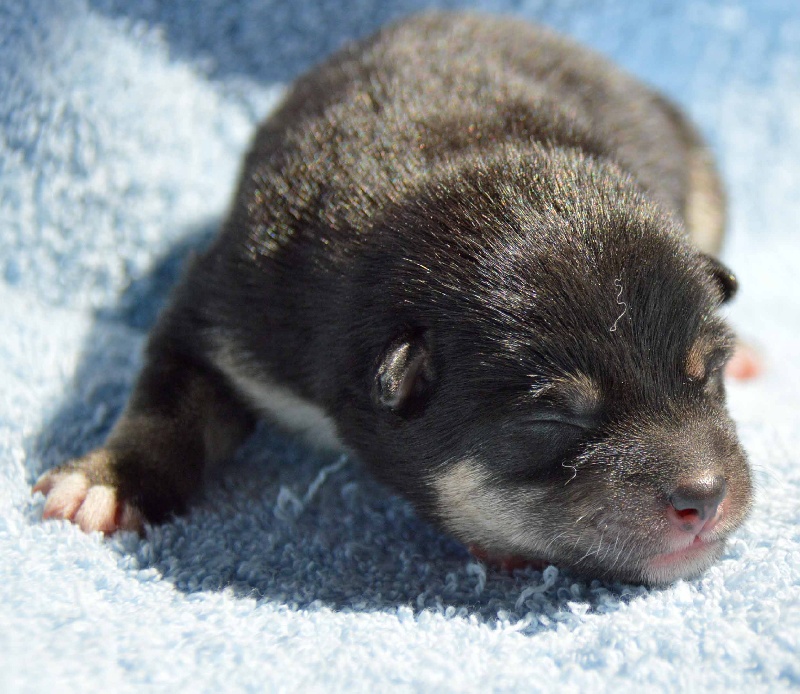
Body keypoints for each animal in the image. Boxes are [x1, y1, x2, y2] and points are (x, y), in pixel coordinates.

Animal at [36, 12, 752, 588]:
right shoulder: (234, 307)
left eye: (708, 375)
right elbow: (168, 398)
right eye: (552, 421)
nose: (706, 497)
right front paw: (109, 480)